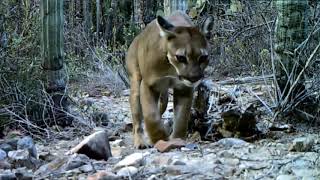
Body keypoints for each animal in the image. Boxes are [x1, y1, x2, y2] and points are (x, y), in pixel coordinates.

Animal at [125, 11, 212, 149]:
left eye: (203, 57)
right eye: (181, 57)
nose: (194, 78)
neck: (172, 68)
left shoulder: (184, 88)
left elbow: (182, 117)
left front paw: (177, 139)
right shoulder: (148, 84)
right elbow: (151, 115)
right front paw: (160, 137)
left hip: (164, 96)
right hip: (136, 82)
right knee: (137, 118)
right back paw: (140, 141)